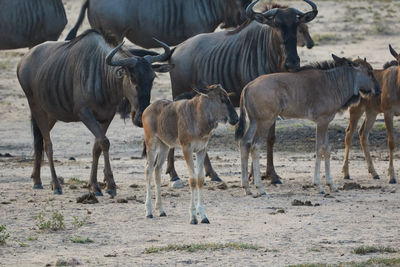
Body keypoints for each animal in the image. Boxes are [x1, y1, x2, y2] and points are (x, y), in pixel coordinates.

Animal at [143, 84, 238, 224]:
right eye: (222, 99)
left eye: (228, 97)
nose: (236, 118)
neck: (198, 117)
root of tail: (146, 110)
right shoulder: (186, 149)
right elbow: (192, 179)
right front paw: (193, 217)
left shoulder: (201, 150)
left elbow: (200, 179)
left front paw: (203, 216)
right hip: (151, 143)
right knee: (148, 170)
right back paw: (149, 211)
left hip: (165, 146)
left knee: (157, 169)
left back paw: (161, 210)